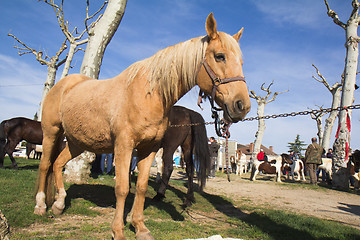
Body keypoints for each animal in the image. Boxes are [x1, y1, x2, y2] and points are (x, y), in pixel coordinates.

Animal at [34, 13, 250, 240]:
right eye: (220, 56)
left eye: (241, 61)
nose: (242, 105)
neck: (149, 95)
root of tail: (62, 85)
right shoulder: (124, 146)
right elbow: (122, 188)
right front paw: (118, 231)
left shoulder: (149, 148)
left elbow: (141, 187)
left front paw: (139, 227)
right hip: (51, 133)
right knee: (45, 165)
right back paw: (41, 205)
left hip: (77, 143)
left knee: (57, 164)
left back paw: (59, 204)